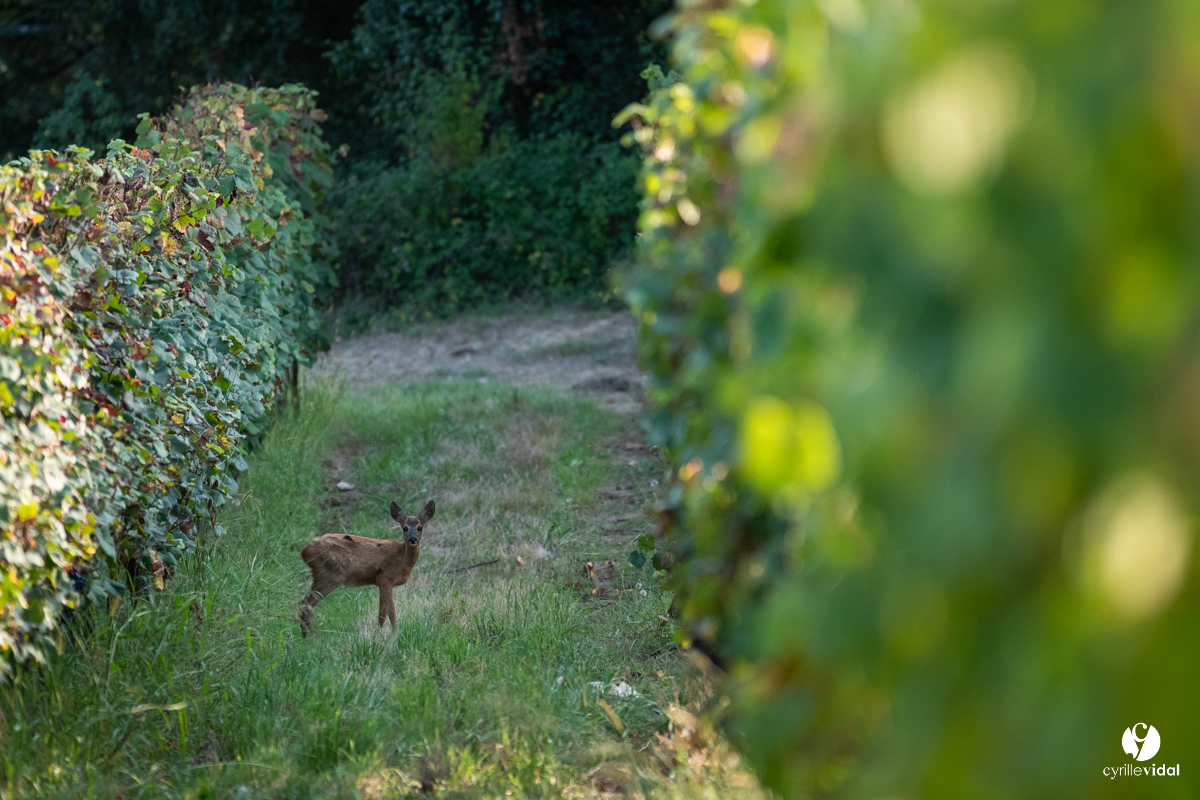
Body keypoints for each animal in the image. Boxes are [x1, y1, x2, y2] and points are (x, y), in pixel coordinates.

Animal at [297, 501, 434, 638]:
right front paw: (395, 634)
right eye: (404, 527)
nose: (412, 539)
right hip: (331, 575)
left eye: (420, 527)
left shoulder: (381, 582)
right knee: (306, 605)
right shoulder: (384, 577)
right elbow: (391, 611)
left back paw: (305, 637)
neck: (402, 559)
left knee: (302, 604)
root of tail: (304, 551)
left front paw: (378, 634)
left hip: (320, 575)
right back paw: (312, 638)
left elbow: (382, 615)